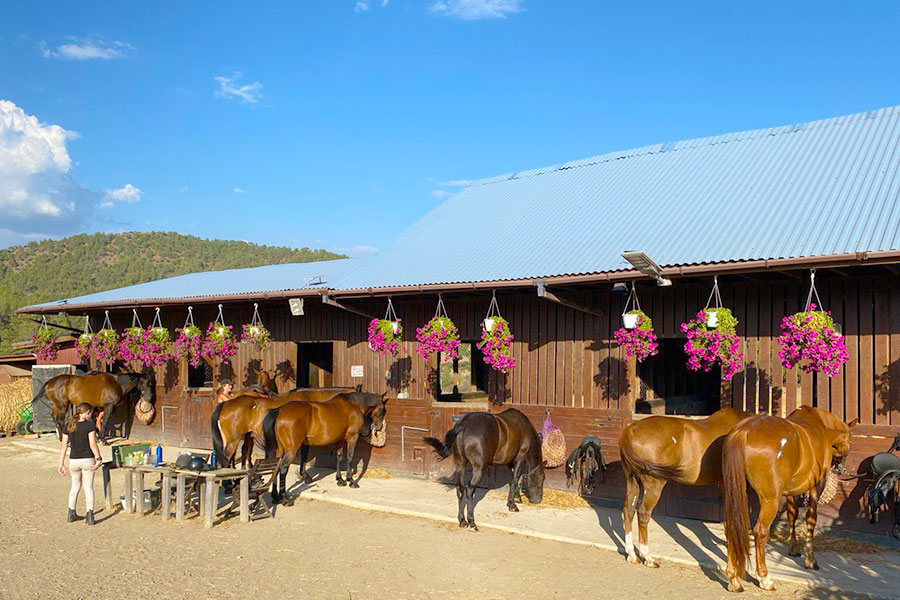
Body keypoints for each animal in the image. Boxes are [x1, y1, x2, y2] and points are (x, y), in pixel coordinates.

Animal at [618, 407, 751, 567]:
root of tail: (631, 430)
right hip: (653, 485)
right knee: (643, 513)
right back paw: (648, 557)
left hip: (632, 481)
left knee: (628, 510)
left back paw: (631, 554)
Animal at [722, 406, 855, 592]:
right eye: (850, 438)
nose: (841, 465)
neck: (821, 427)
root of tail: (743, 431)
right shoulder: (817, 485)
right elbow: (811, 518)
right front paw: (810, 560)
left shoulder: (792, 490)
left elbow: (793, 515)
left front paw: (793, 548)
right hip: (770, 500)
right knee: (760, 531)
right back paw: (764, 578)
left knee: (731, 528)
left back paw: (734, 578)